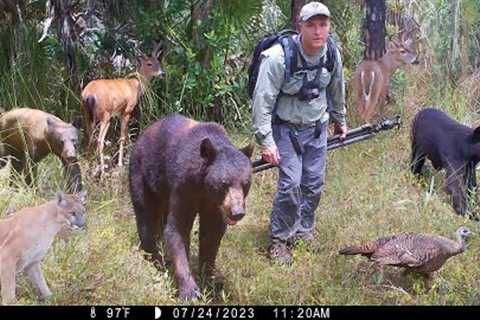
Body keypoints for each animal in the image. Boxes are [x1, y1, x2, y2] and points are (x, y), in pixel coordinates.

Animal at [80, 42, 165, 175]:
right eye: (149, 63)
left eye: (158, 62)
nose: (162, 73)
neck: (136, 86)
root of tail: (89, 95)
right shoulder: (127, 110)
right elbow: (123, 137)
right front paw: (120, 163)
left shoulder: (119, 112)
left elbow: (126, 135)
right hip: (105, 114)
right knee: (99, 140)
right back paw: (102, 171)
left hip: (86, 113)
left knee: (89, 137)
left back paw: (89, 166)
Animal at [127, 113, 255, 300]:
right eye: (225, 183)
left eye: (245, 183)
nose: (237, 212)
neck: (204, 186)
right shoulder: (184, 186)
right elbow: (177, 229)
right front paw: (190, 290)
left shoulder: (213, 204)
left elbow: (211, 234)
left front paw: (210, 281)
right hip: (143, 173)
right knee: (145, 215)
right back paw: (155, 257)